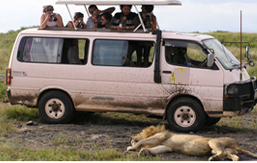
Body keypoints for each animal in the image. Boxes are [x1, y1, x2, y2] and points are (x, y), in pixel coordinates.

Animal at [127, 125, 256, 161]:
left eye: (139, 132)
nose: (131, 137)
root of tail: (238, 146)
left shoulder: (159, 137)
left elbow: (141, 141)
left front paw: (131, 148)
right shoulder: (166, 146)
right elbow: (155, 149)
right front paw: (144, 152)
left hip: (213, 141)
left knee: (221, 152)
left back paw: (213, 158)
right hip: (224, 150)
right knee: (232, 156)